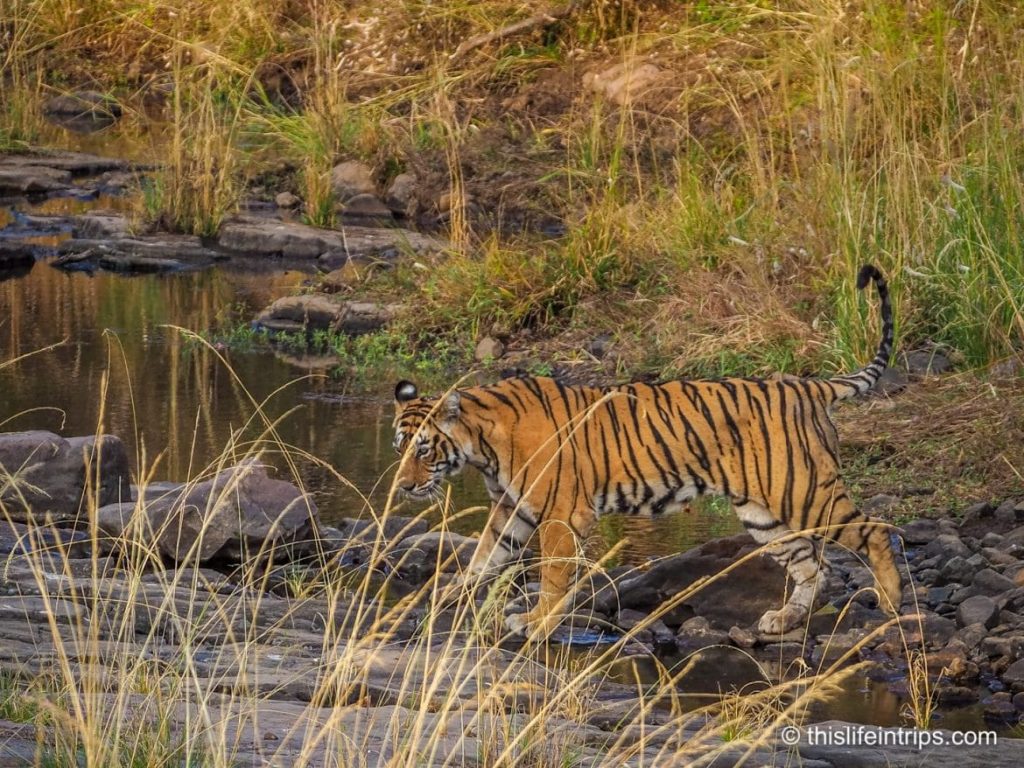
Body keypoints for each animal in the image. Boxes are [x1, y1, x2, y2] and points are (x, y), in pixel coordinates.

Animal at [392, 265, 903, 637]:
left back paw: (892, 603)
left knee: (873, 530)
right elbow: (482, 558)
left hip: (804, 491)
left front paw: (537, 623)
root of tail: (808, 385)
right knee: (812, 564)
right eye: (400, 448)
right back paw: (785, 619)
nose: (403, 486)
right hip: (764, 514)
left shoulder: (562, 514)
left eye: (424, 449)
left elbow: (554, 577)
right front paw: (447, 596)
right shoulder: (511, 510)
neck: (482, 446)